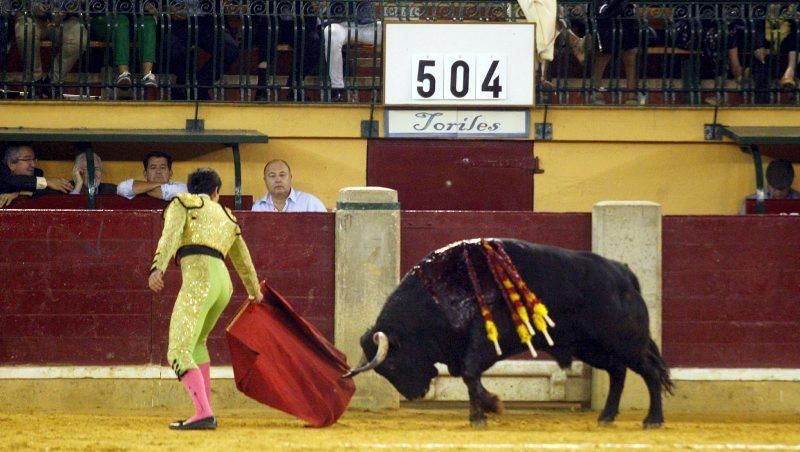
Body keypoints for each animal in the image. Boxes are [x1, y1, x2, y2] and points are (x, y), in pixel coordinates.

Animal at [346, 238, 676, 430]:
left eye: (390, 363)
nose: (415, 395)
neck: (439, 293)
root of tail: (624, 273)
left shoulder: (483, 344)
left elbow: (469, 373)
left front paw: (491, 407)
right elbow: (468, 378)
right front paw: (479, 415)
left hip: (626, 343)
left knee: (649, 372)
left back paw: (653, 420)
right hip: (593, 347)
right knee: (618, 372)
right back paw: (606, 416)